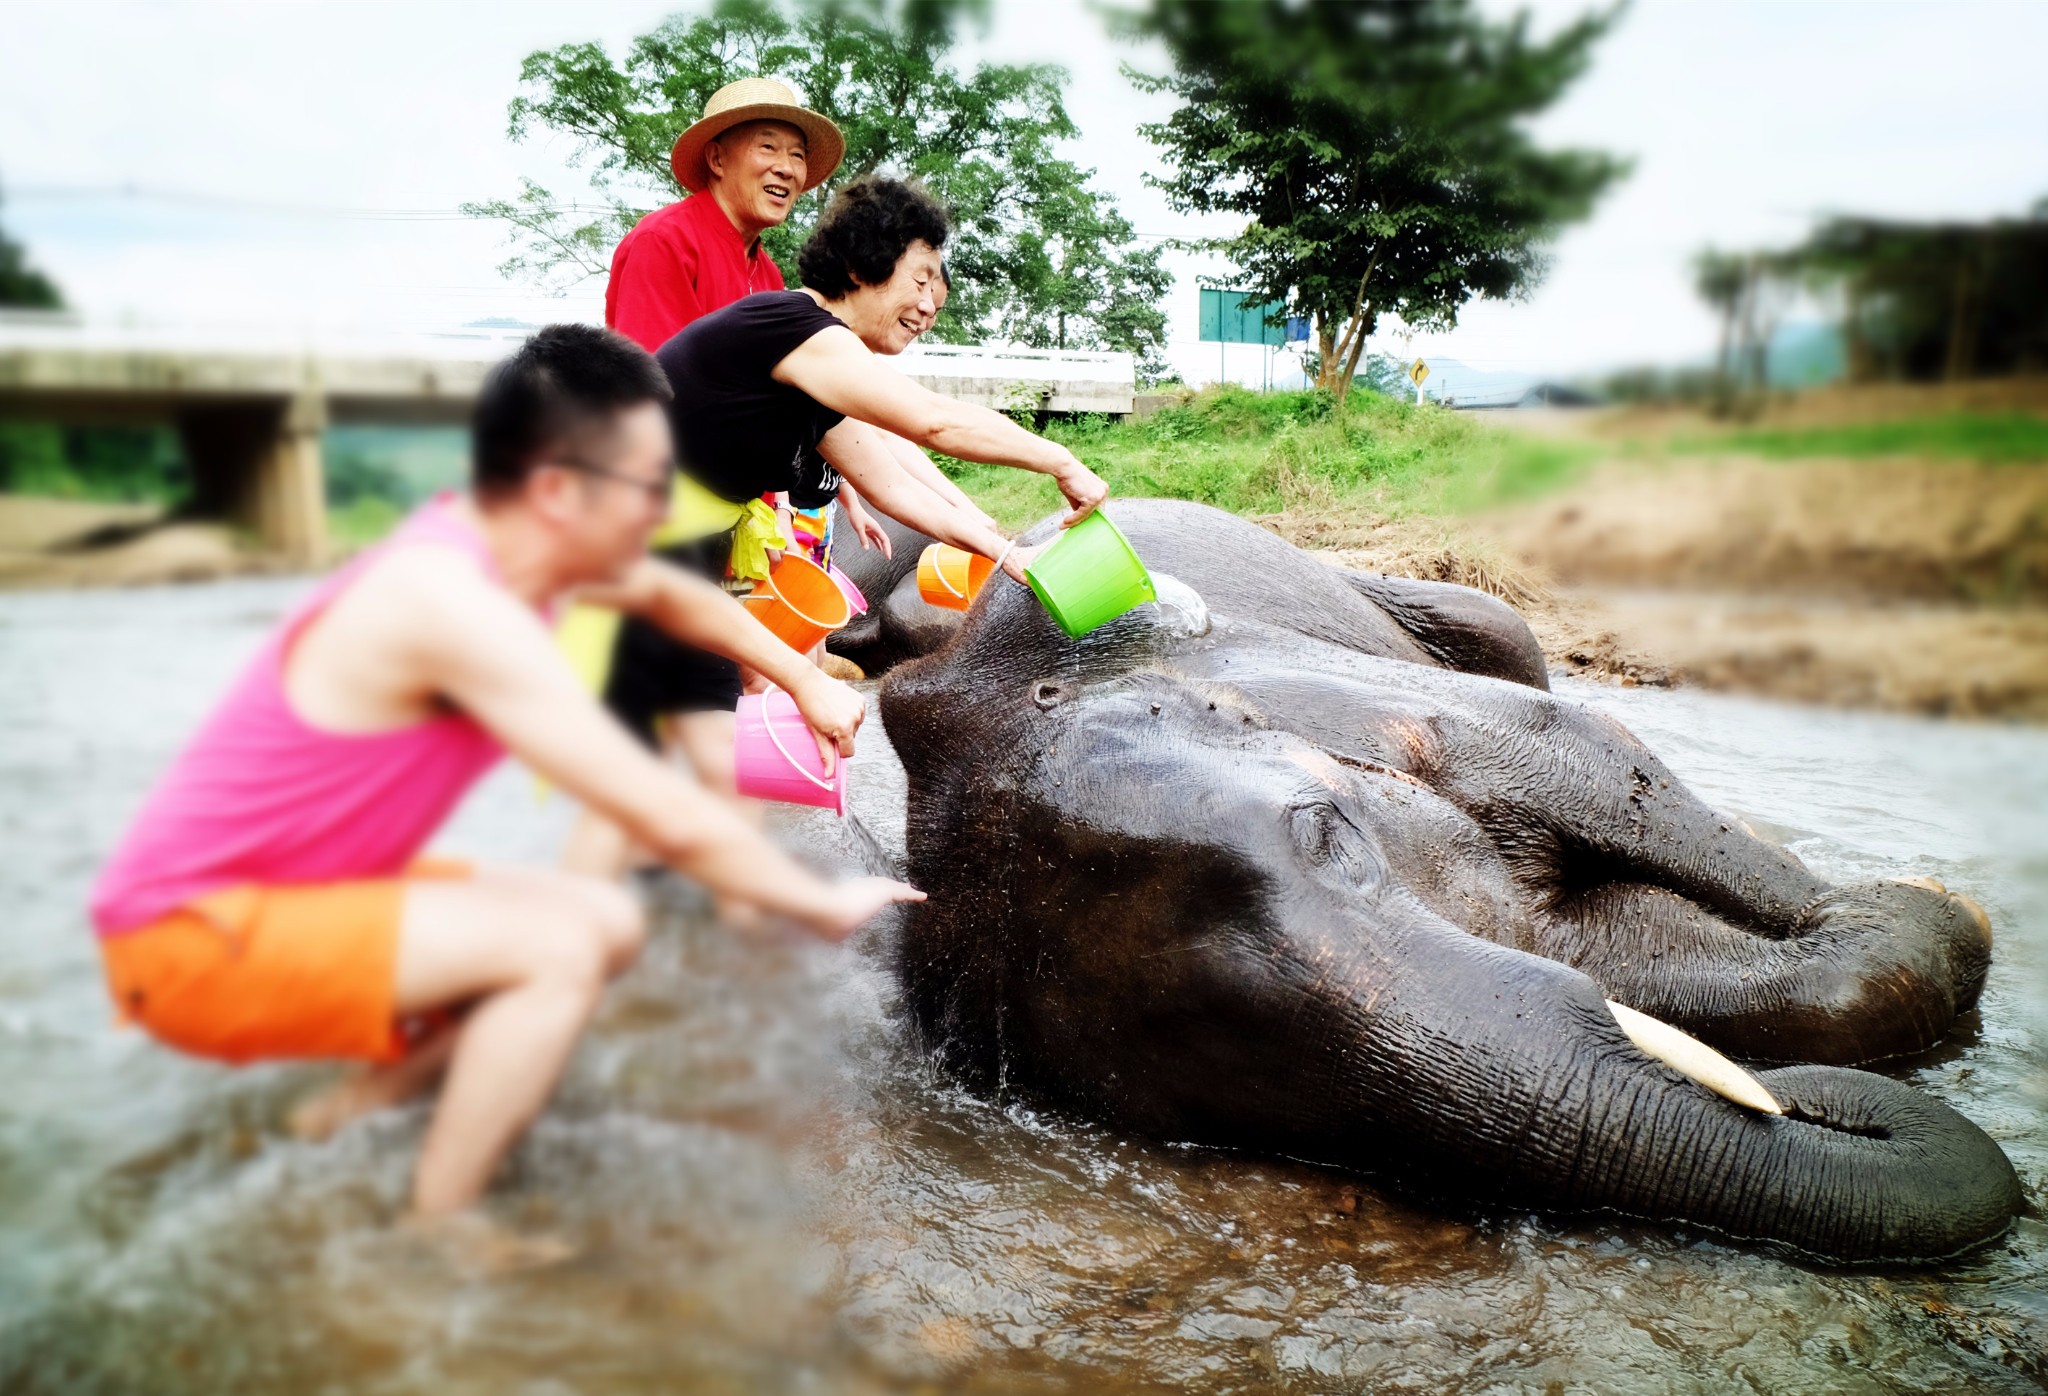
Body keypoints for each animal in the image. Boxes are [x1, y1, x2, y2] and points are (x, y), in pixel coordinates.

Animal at [872, 497, 2023, 1260]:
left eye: (1329, 835)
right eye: (1206, 1103)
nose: (1817, 1109)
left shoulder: (1388, 708)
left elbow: (1591, 750)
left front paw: (1927, 905)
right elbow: (1598, 944)